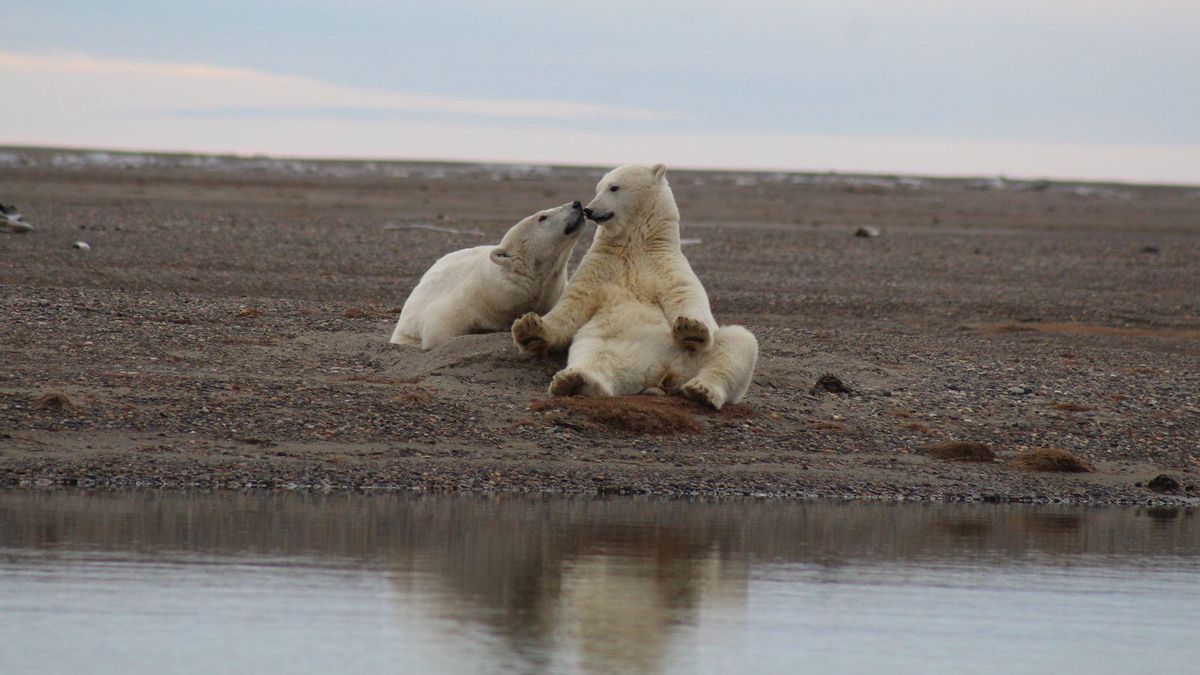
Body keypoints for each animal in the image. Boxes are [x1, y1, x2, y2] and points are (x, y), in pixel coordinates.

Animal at [508, 163, 753, 408]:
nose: (589, 209)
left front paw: (690, 328)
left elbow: (684, 292)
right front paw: (529, 326)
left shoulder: (665, 263)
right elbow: (574, 301)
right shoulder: (600, 265)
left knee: (736, 343)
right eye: (597, 188)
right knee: (594, 354)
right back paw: (575, 380)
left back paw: (703, 389)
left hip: (692, 356)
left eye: (614, 187)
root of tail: (662, 374)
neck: (634, 246)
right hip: (606, 341)